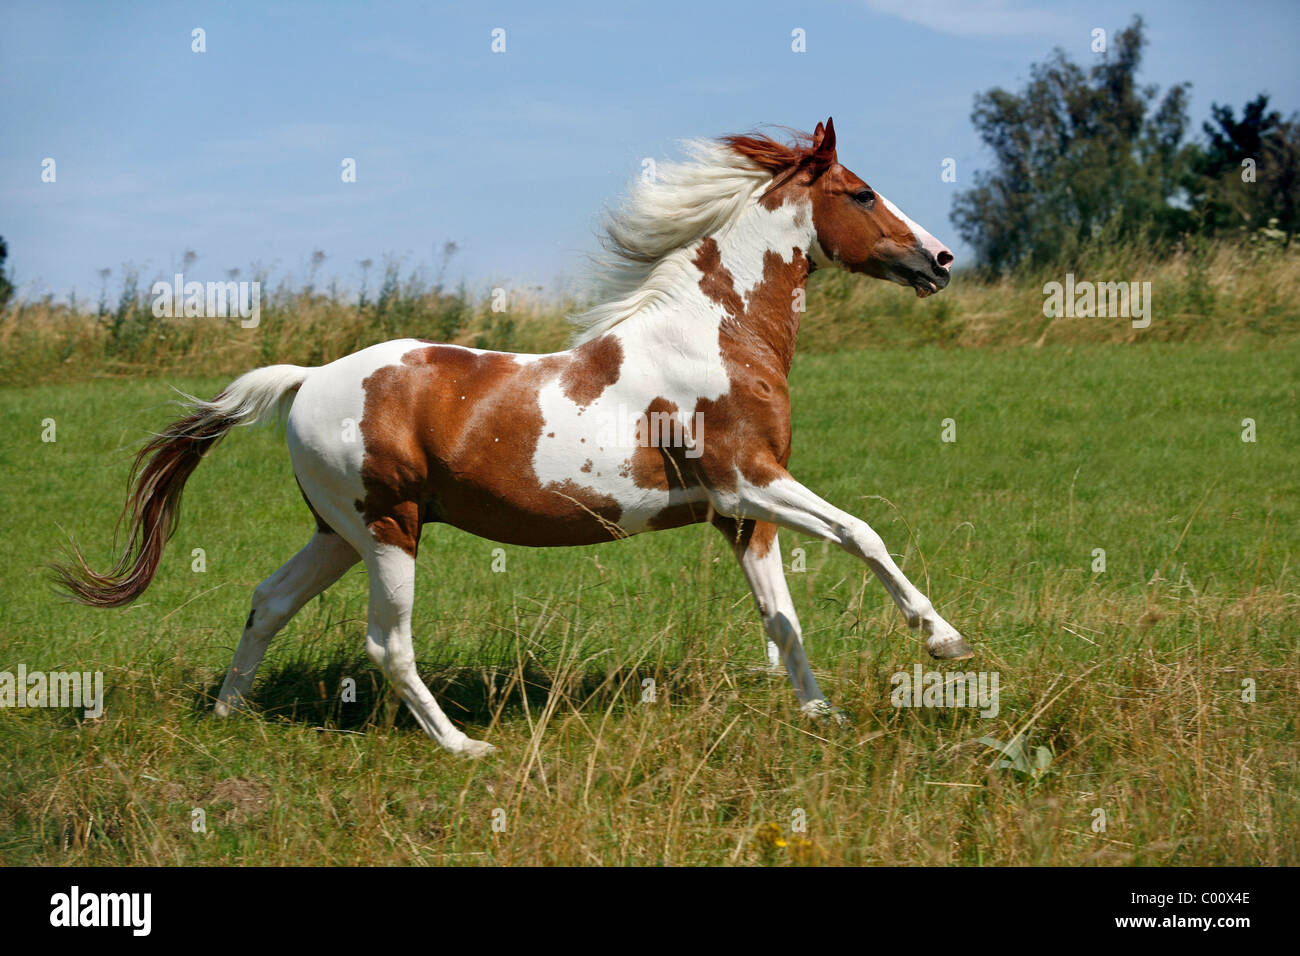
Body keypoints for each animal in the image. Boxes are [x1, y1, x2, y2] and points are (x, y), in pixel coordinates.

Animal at [55, 119, 972, 759]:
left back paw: (226, 710)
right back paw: (464, 747)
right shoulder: (747, 481)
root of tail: (306, 379)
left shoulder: (741, 514)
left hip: (339, 532)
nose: (940, 259)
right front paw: (945, 641)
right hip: (389, 530)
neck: (715, 335)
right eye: (862, 193)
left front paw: (823, 715)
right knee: (388, 644)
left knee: (270, 600)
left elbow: (783, 621)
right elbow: (862, 532)